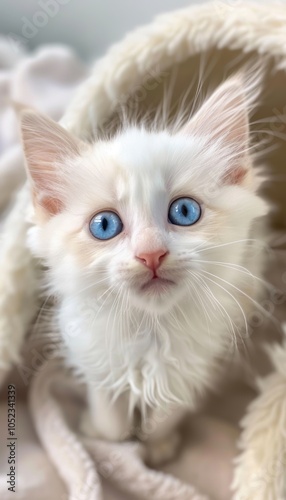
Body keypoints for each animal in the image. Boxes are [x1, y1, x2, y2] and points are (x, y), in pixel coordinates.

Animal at [20, 72, 268, 462]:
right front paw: (106, 437)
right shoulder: (94, 356)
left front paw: (155, 448)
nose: (151, 254)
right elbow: (110, 416)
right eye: (104, 225)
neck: (149, 330)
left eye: (185, 211)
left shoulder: (194, 364)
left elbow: (166, 414)